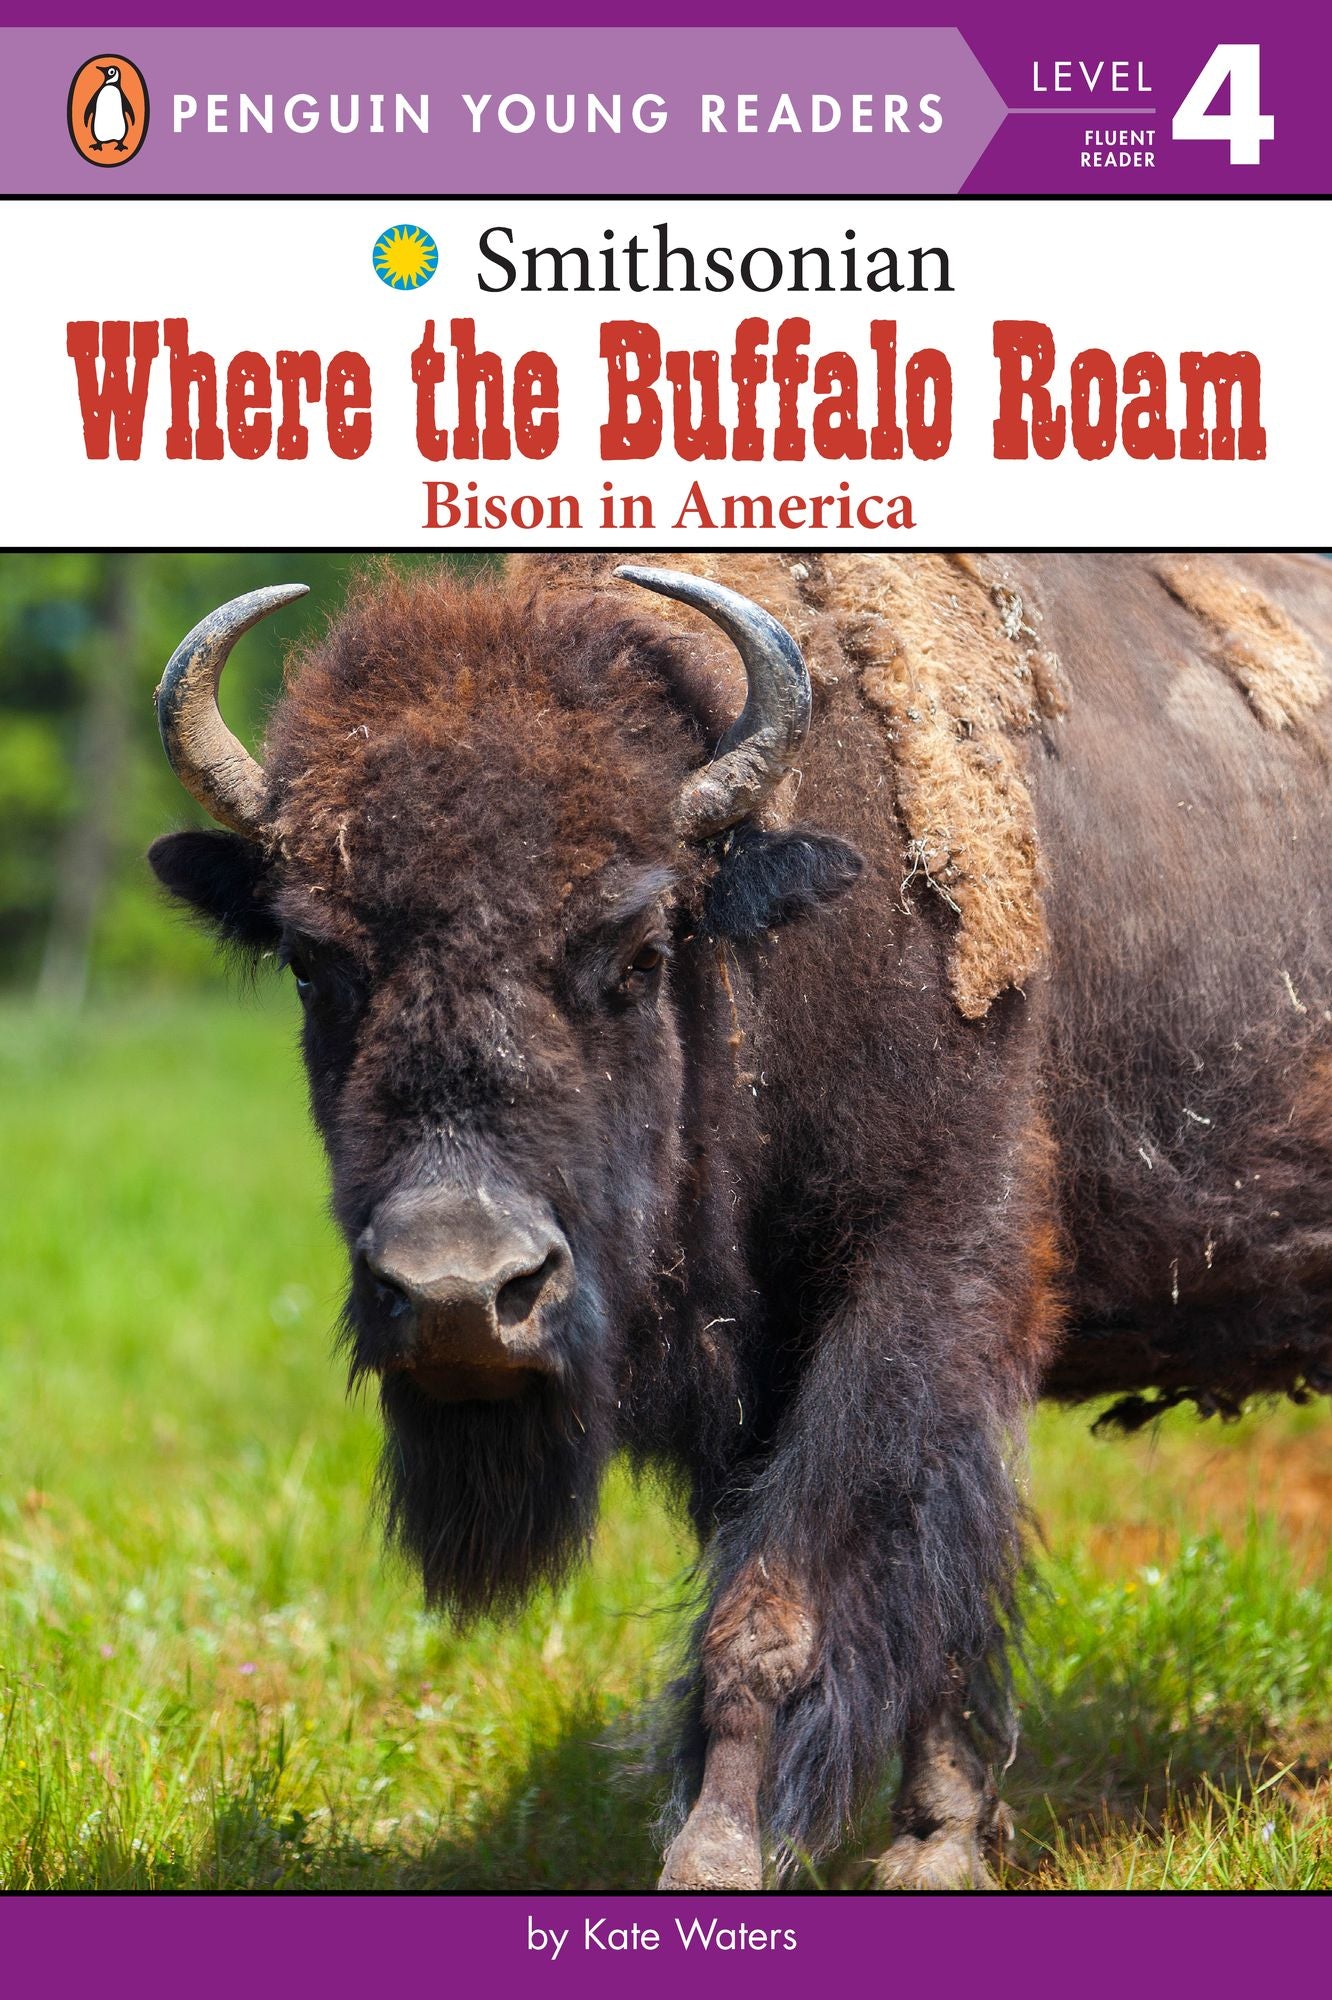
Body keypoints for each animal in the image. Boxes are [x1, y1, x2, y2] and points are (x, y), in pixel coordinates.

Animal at [149, 551, 1332, 1889]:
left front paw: (725, 1853)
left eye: (635, 949)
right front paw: (931, 1838)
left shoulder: (920, 1289)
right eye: (312, 961)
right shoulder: (760, 1370)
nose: (460, 1295)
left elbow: (783, 1601)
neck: (770, 936)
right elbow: (899, 1597)